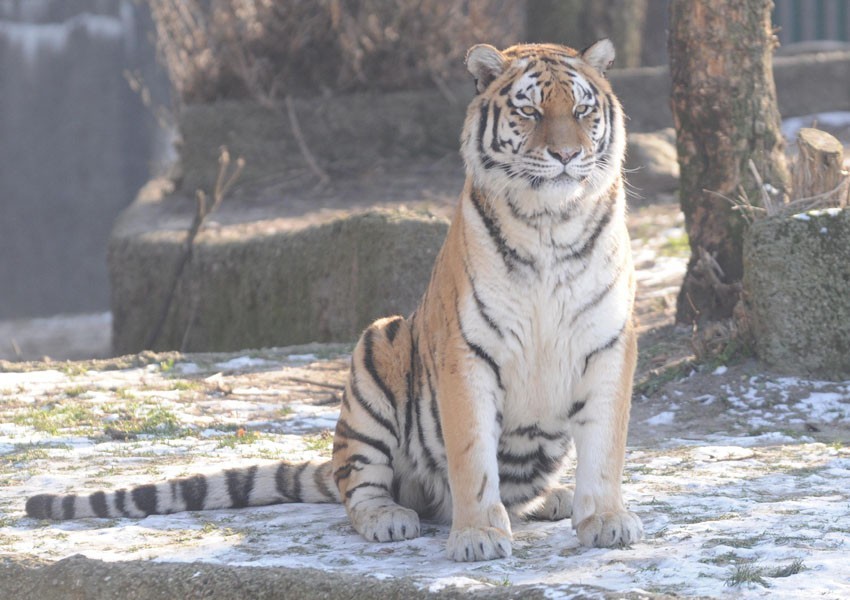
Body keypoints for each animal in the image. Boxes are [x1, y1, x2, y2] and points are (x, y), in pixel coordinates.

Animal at [23, 38, 640, 564]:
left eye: (583, 111)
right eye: (530, 112)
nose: (567, 155)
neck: (550, 226)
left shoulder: (609, 343)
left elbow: (606, 448)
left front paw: (606, 520)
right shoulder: (468, 351)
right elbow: (473, 457)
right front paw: (479, 536)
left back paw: (555, 498)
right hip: (376, 355)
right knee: (360, 487)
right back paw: (390, 517)